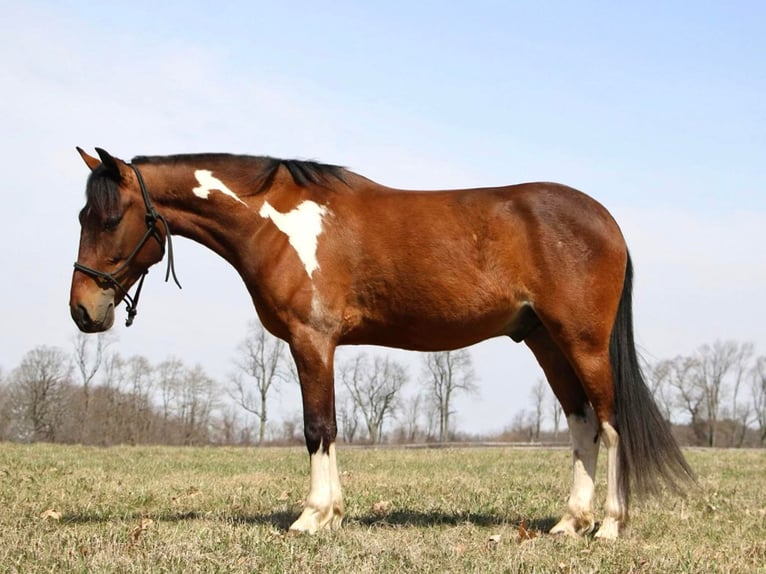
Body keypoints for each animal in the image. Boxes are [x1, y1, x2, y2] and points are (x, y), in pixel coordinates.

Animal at [70, 147, 696, 540]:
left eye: (109, 218)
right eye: (83, 214)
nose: (82, 310)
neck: (277, 221)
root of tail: (606, 222)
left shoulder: (312, 340)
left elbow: (317, 427)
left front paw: (312, 517)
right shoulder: (319, 346)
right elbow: (328, 428)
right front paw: (334, 515)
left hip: (582, 342)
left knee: (611, 424)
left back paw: (609, 526)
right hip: (544, 341)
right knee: (581, 421)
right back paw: (569, 523)